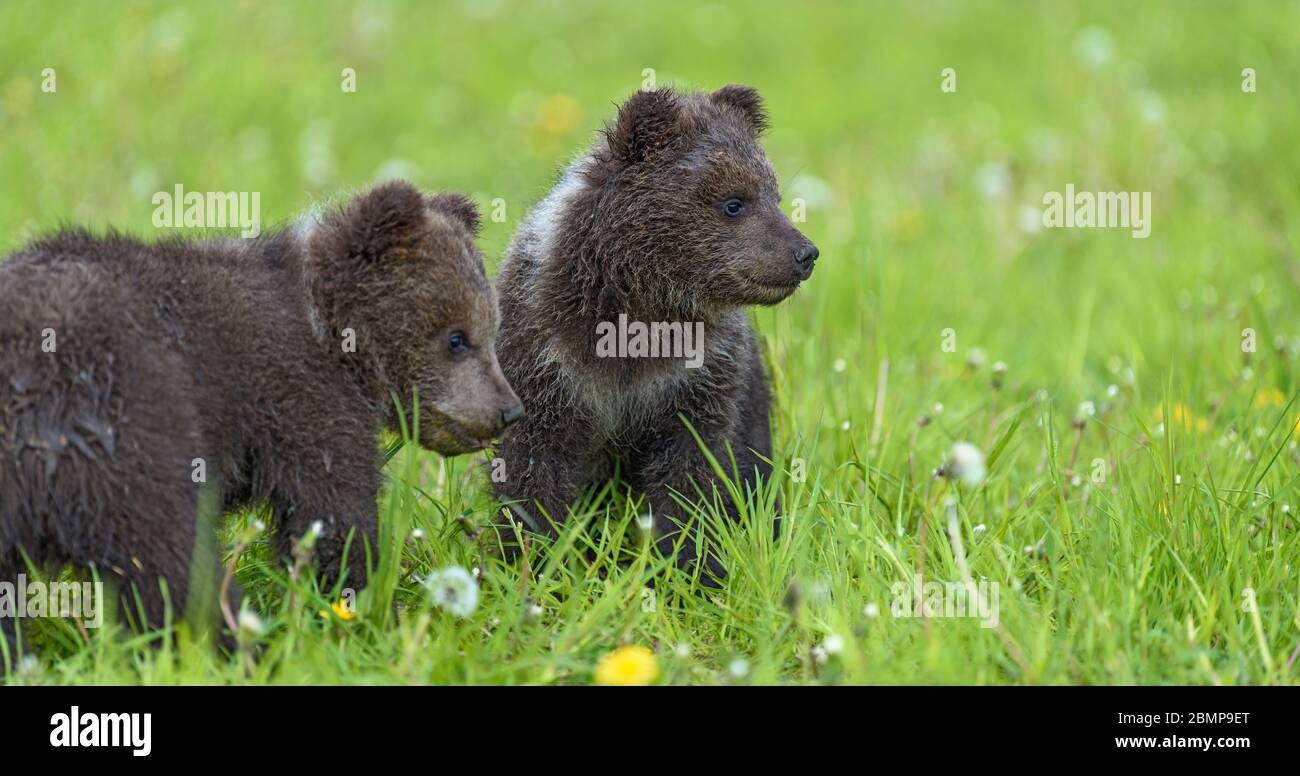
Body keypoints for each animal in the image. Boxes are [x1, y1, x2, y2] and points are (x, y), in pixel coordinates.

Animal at [0, 180, 523, 661]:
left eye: (492, 327)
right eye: (457, 338)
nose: (508, 410)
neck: (332, 333)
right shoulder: (297, 394)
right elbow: (331, 512)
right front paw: (375, 613)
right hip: (126, 421)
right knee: (169, 555)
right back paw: (234, 647)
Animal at [492, 85, 817, 584]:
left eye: (774, 194)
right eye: (734, 202)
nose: (805, 253)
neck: (640, 306)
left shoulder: (700, 375)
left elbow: (692, 475)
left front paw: (689, 566)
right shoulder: (546, 358)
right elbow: (532, 469)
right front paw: (532, 563)